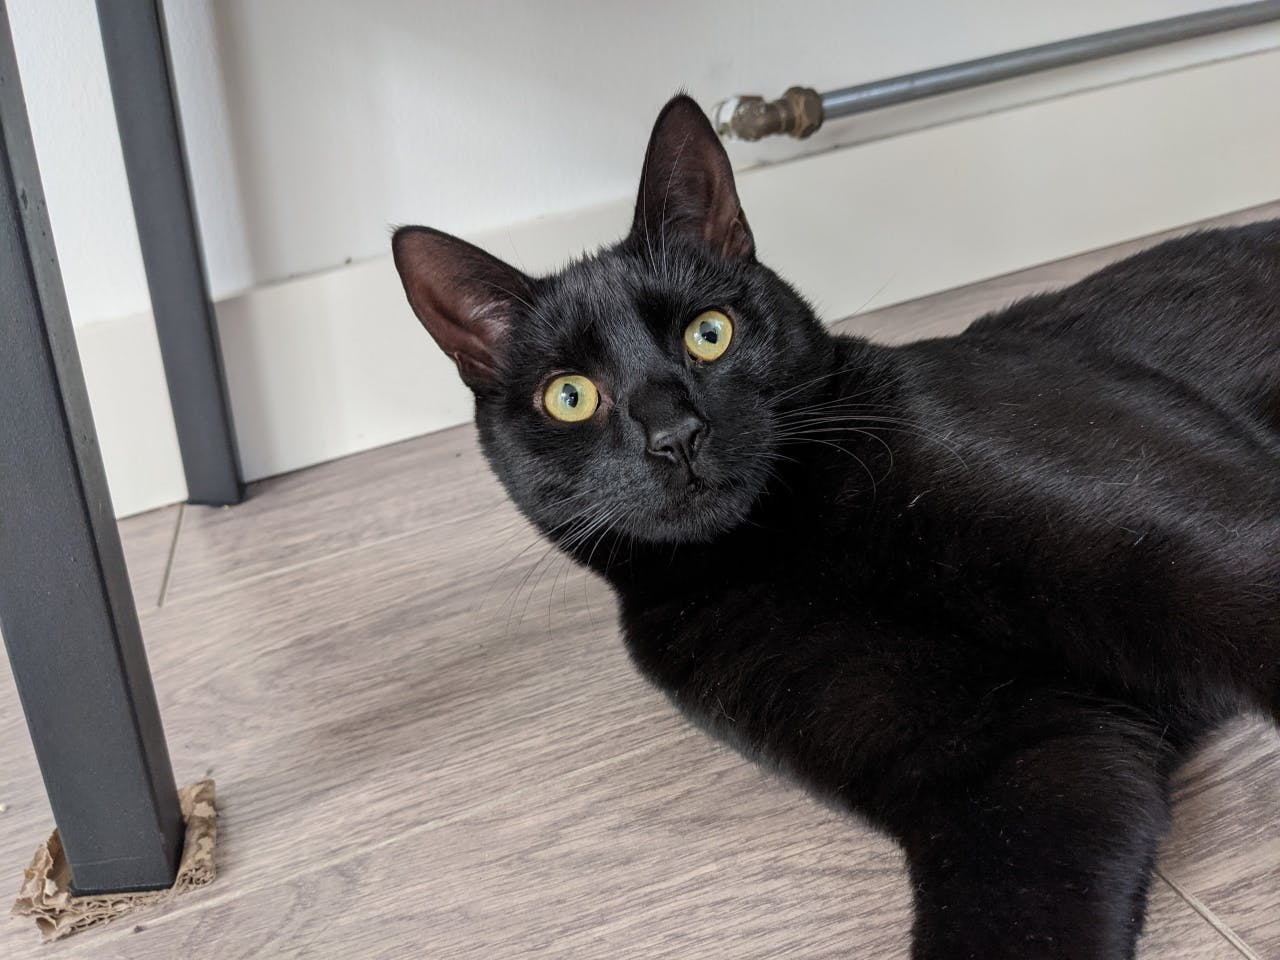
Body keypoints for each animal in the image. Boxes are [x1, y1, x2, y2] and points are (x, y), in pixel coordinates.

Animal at [392, 94, 1279, 959]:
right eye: (570, 396)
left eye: (709, 332)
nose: (675, 435)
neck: (791, 542)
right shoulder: (1022, 759)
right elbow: (1010, 919)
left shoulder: (1187, 549)